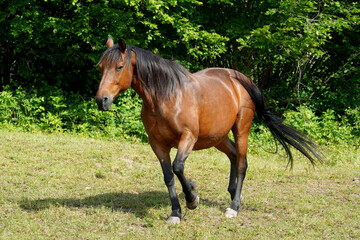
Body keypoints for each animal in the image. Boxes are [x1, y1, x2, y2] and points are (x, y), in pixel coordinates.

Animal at [94, 37, 322, 223]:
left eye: (119, 67)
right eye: (101, 67)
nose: (101, 100)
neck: (166, 97)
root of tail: (238, 78)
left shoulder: (188, 137)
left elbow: (178, 167)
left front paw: (192, 199)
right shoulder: (157, 144)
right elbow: (169, 176)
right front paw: (176, 212)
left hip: (241, 129)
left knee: (242, 164)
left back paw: (234, 207)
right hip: (218, 137)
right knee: (233, 155)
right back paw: (234, 194)